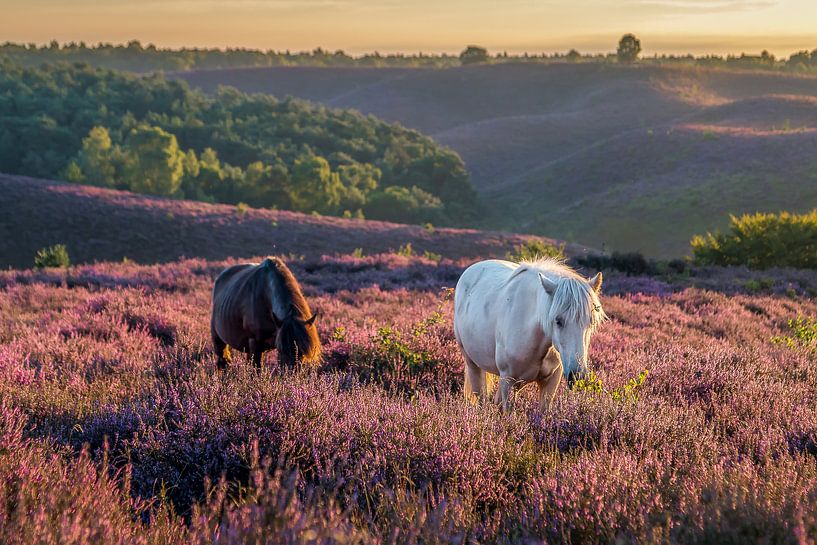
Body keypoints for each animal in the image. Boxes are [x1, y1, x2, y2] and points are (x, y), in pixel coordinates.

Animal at [452, 258, 604, 410]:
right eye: (558, 321)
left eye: (591, 322)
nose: (577, 376)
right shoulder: (507, 380)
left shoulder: (550, 382)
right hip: (472, 364)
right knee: (481, 398)